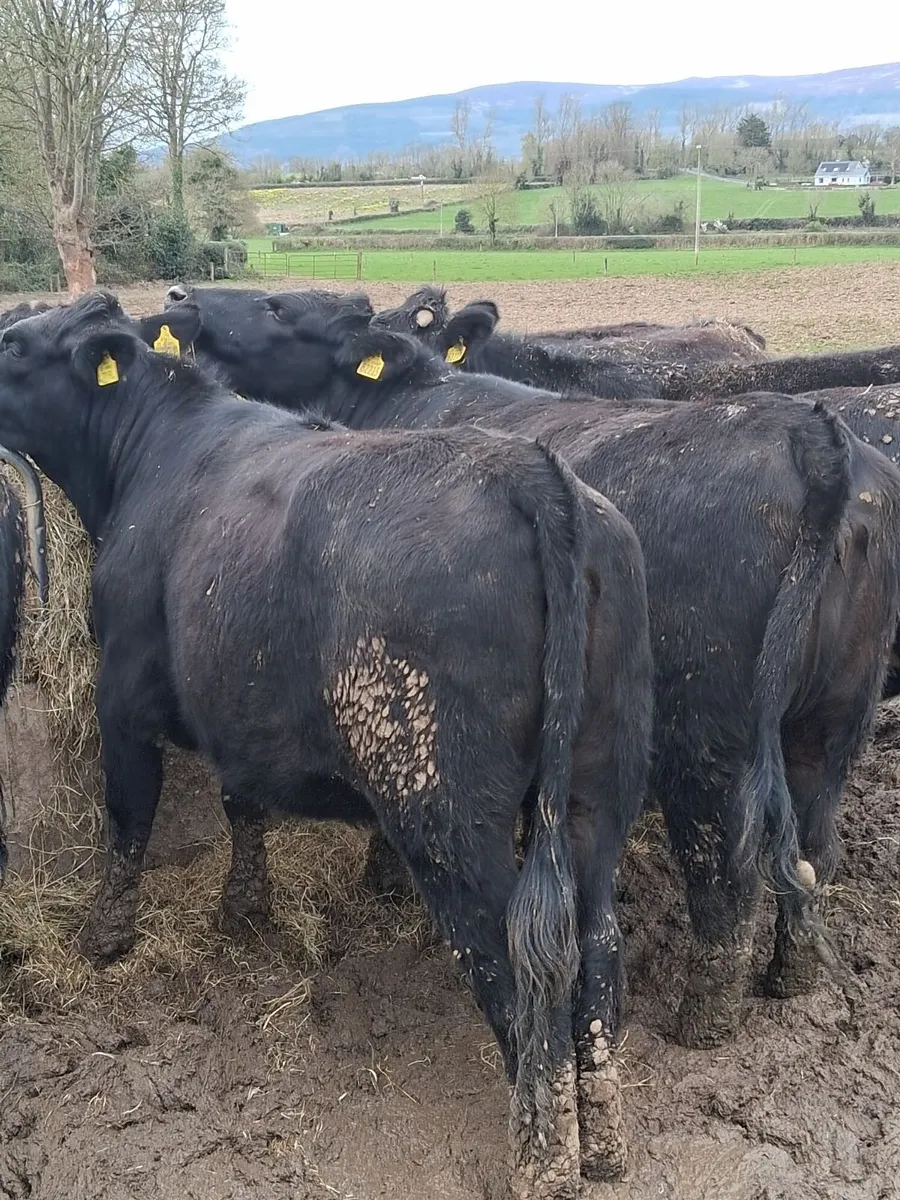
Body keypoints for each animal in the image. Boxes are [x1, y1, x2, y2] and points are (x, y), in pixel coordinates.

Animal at [0, 291, 655, 1197]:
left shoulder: (122, 693)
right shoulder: (237, 704)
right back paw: (603, 1143)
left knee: (515, 965)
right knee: (595, 951)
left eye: (12, 344)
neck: (153, 452)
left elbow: (127, 816)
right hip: (598, 790)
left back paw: (543, 1159)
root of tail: (532, 473)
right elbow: (242, 802)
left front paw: (105, 940)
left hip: (446, 810)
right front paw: (244, 910)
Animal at [200, 294, 900, 1054]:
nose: (181, 306)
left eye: (281, 308)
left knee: (726, 878)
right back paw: (789, 977)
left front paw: (382, 881)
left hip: (712, 746)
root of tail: (812, 436)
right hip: (831, 724)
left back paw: (703, 1021)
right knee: (813, 848)